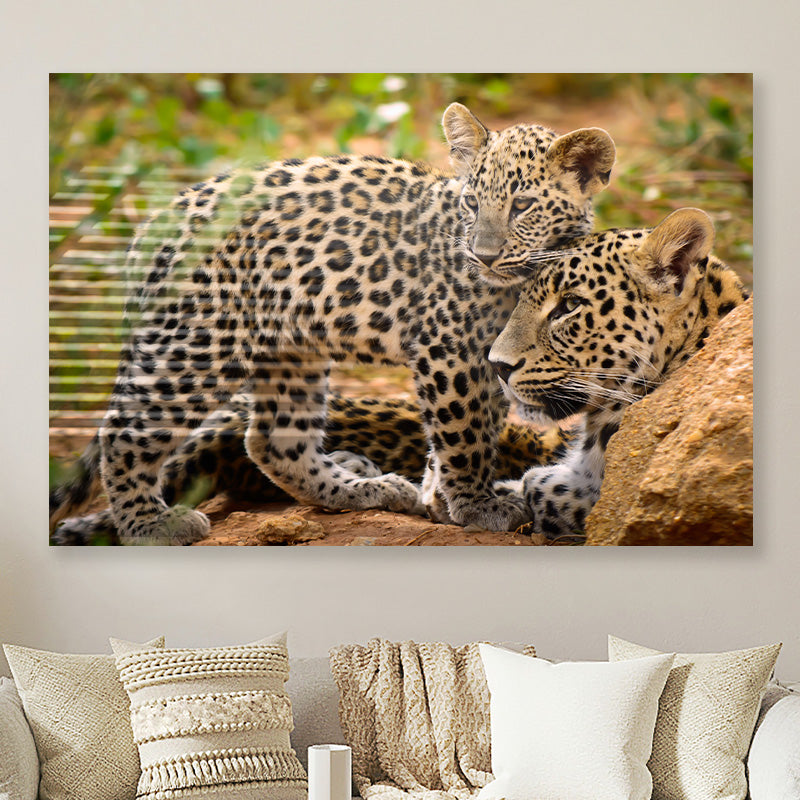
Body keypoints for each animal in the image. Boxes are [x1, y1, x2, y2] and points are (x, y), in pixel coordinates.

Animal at [50, 102, 615, 544]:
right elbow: (465, 429)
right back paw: (150, 524)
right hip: (200, 341)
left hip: (288, 349)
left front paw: (437, 496)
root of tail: (154, 223)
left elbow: (472, 426)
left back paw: (362, 489)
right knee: (125, 429)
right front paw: (477, 505)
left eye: (523, 205)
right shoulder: (451, 348)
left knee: (273, 442)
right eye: (472, 203)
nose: (484, 255)